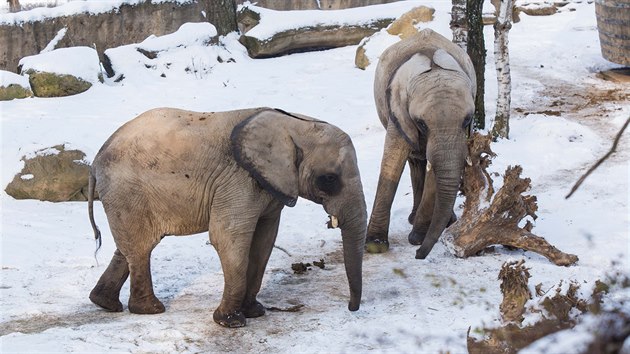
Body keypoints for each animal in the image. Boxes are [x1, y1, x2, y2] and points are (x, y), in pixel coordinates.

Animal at [86, 106, 368, 328]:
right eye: (329, 179)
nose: (351, 308)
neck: (294, 123)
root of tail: (95, 160)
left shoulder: (270, 188)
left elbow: (264, 240)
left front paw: (255, 313)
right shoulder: (238, 180)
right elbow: (228, 237)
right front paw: (231, 322)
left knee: (130, 247)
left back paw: (105, 303)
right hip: (127, 191)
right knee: (141, 246)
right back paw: (150, 310)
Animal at [368, 27, 476, 258]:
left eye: (467, 120)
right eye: (421, 123)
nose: (418, 255)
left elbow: (435, 172)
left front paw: (417, 238)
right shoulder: (398, 112)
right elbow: (392, 162)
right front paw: (375, 246)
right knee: (415, 161)